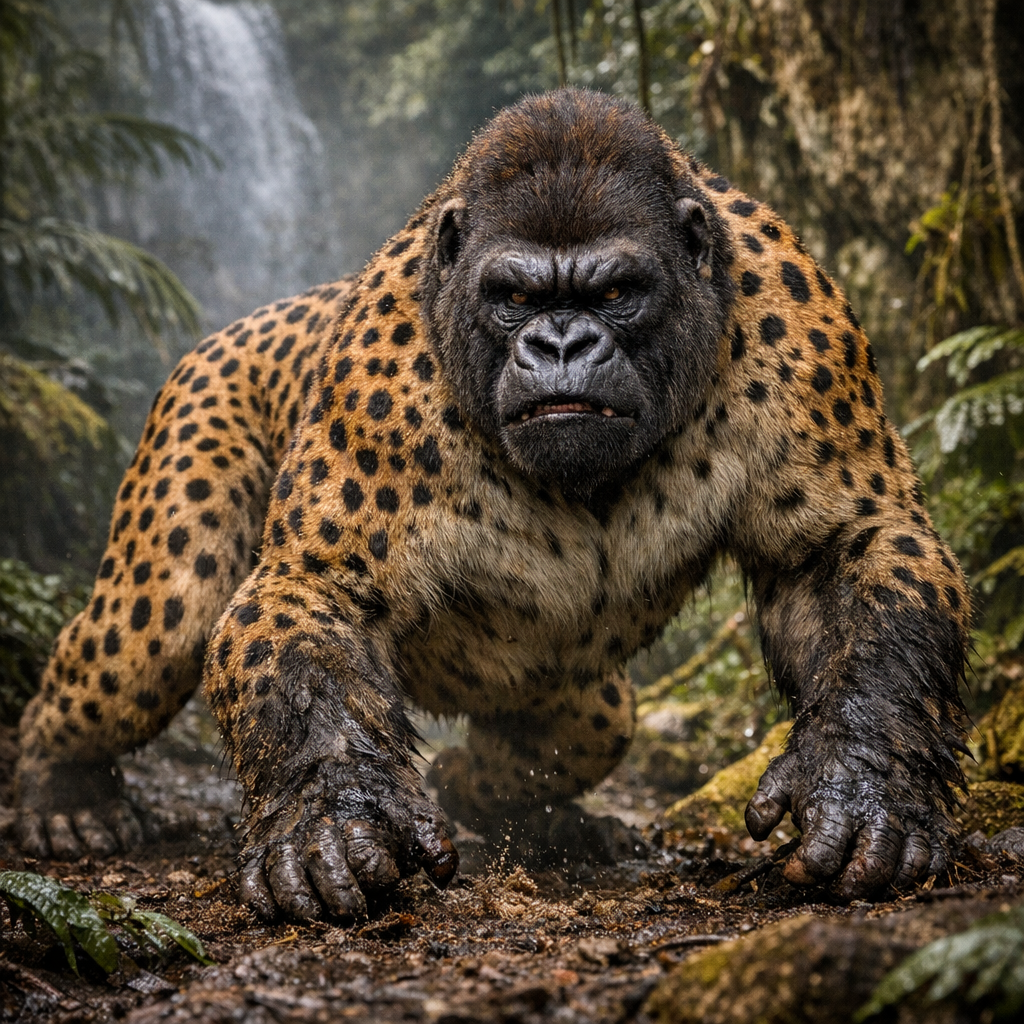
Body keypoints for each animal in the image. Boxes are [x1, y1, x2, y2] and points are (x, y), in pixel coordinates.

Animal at [17, 89, 970, 921]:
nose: (561, 345)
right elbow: (314, 600)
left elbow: (848, 553)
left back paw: (504, 805)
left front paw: (862, 783)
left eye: (614, 291)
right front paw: (330, 817)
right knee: (141, 644)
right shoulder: (376, 383)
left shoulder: (802, 326)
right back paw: (60, 786)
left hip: (570, 693)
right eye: (515, 297)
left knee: (586, 726)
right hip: (193, 430)